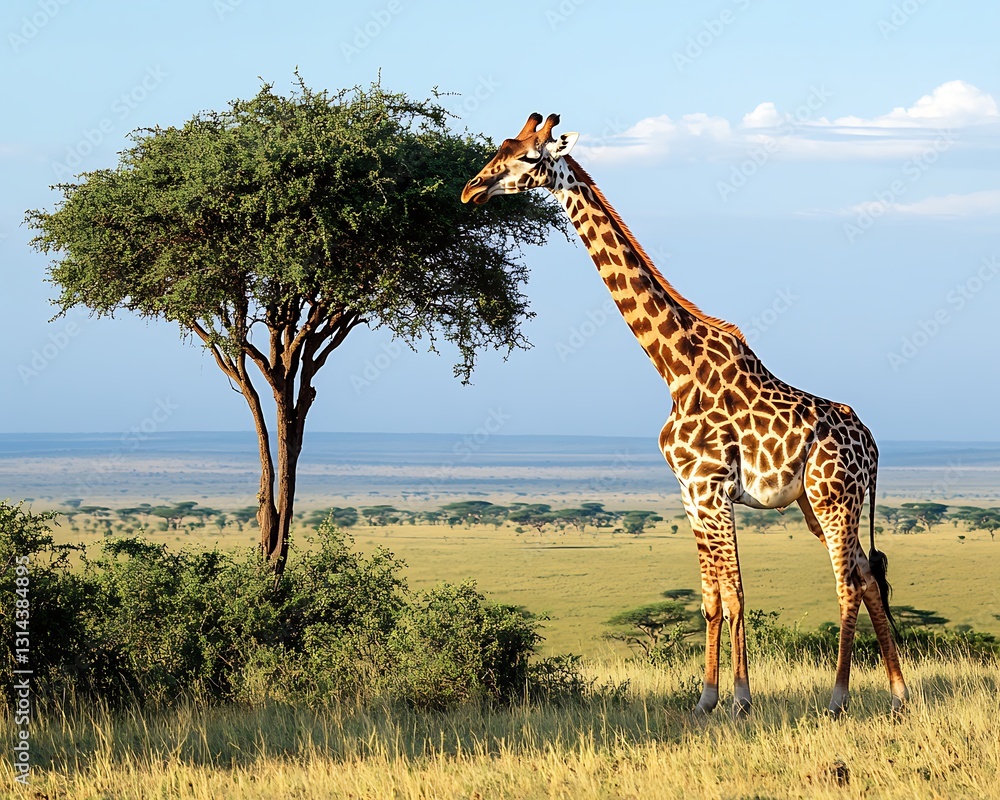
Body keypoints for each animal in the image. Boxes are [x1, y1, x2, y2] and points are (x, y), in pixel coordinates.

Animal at [462, 113, 908, 718]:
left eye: (529, 158)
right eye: (501, 146)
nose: (470, 190)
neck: (674, 368)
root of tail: (873, 444)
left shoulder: (713, 489)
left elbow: (736, 593)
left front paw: (741, 700)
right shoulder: (689, 494)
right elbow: (711, 599)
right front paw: (706, 699)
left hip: (833, 498)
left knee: (846, 584)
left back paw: (838, 698)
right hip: (822, 505)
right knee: (867, 576)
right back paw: (898, 692)